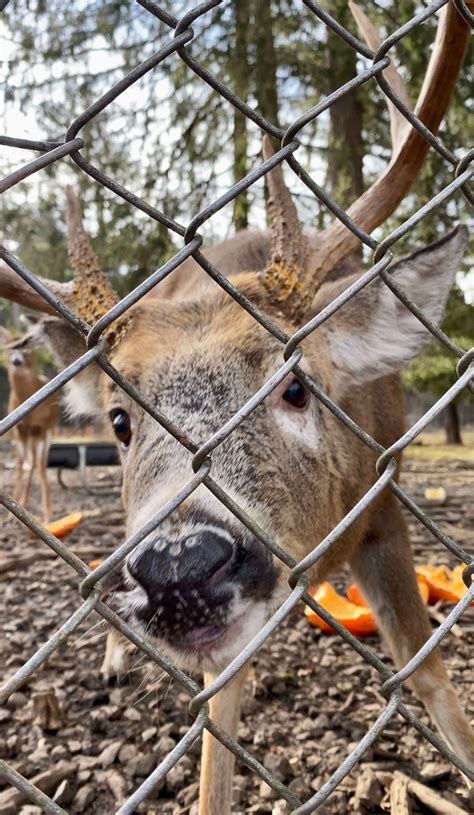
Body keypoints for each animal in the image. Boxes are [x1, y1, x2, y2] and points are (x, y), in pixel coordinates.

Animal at [0, 326, 58, 524]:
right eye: (9, 348)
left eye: (26, 348)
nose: (16, 361)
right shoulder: (18, 431)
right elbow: (19, 465)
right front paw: (10, 513)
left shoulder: (36, 428)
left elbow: (32, 464)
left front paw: (24, 504)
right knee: (32, 462)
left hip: (48, 431)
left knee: (40, 464)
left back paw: (48, 511)